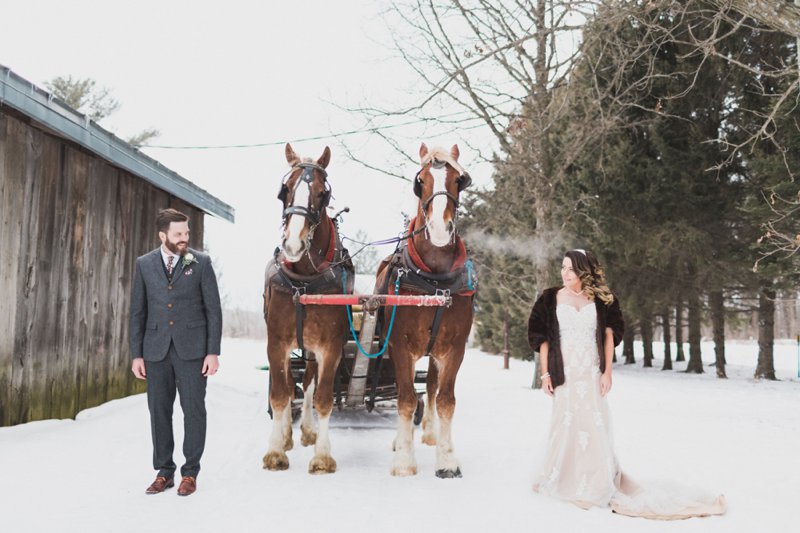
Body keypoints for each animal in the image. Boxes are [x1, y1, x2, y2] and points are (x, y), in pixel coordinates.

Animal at [262, 142, 354, 474]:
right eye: (284, 190)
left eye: (321, 193)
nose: (293, 245)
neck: (304, 280)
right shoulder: (276, 343)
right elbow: (280, 394)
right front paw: (276, 450)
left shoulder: (331, 346)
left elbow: (322, 396)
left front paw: (322, 455)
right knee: (292, 385)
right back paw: (287, 434)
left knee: (308, 383)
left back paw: (308, 431)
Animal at [376, 142, 476, 478]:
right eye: (420, 181)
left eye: (459, 180)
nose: (439, 230)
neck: (433, 279)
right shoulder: (398, 345)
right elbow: (406, 399)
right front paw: (405, 460)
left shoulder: (455, 347)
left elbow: (445, 399)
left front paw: (447, 459)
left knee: (431, 386)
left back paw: (431, 433)